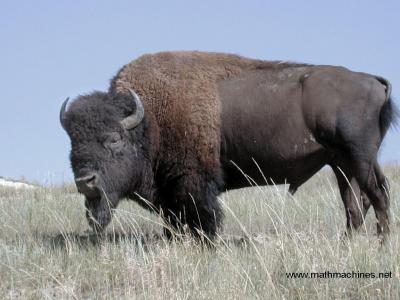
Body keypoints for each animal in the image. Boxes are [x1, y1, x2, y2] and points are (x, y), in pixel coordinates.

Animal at [60, 50, 396, 240]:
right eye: (72, 143)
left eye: (114, 138)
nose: (86, 181)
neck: (150, 121)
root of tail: (372, 80)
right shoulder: (171, 193)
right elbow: (174, 222)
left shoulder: (194, 184)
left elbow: (205, 218)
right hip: (342, 164)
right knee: (356, 203)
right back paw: (348, 243)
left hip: (358, 158)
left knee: (377, 195)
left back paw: (382, 243)